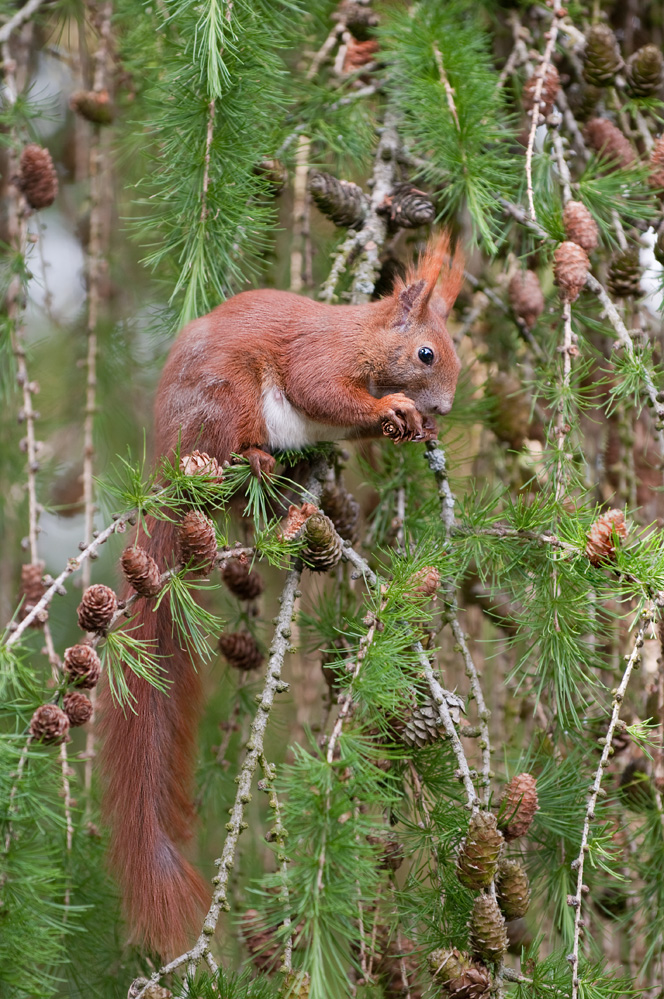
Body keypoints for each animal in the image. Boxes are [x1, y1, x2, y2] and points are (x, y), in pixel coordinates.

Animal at [98, 232, 462, 952]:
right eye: (427, 354)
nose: (444, 409)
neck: (364, 339)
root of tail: (169, 455)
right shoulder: (320, 358)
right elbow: (323, 391)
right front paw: (392, 409)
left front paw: (413, 428)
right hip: (232, 396)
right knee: (233, 444)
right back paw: (259, 460)